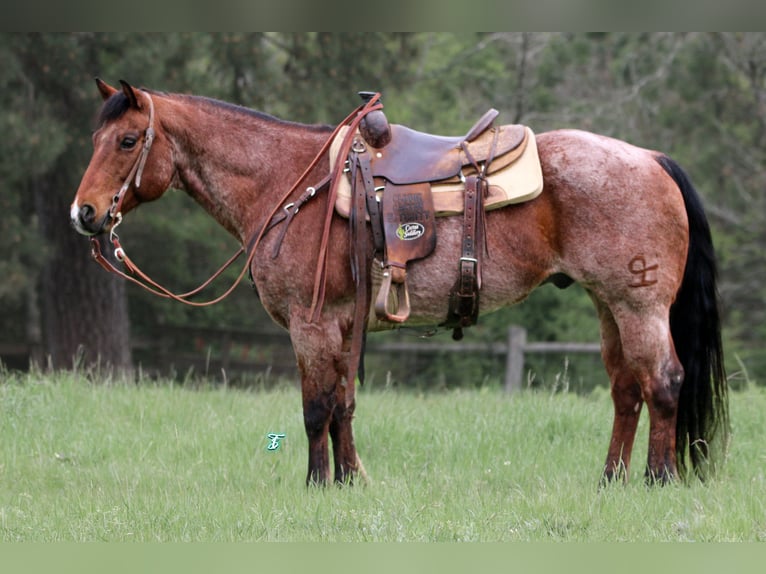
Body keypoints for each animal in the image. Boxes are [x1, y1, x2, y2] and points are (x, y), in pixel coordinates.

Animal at [69, 80, 728, 486]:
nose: (85, 213)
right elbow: (343, 404)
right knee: (626, 389)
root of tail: (651, 159)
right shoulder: (340, 322)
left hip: (638, 304)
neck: (289, 183)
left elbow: (315, 406)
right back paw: (611, 480)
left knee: (664, 382)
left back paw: (657, 479)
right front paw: (349, 481)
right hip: (607, 306)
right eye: (95, 139)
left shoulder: (310, 323)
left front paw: (315, 485)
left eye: (127, 140)